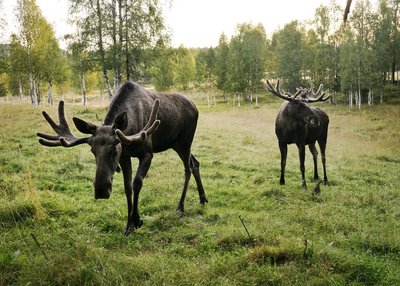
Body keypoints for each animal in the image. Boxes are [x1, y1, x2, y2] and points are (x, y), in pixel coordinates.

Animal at [37, 81, 208, 235]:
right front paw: (129, 225)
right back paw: (203, 198)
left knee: (188, 168)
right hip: (175, 143)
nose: (101, 191)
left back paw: (180, 207)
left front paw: (137, 220)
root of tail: (195, 107)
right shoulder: (125, 156)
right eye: (92, 151)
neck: (130, 131)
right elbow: (127, 187)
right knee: (196, 163)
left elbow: (136, 183)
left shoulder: (147, 153)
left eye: (114, 149)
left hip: (185, 141)